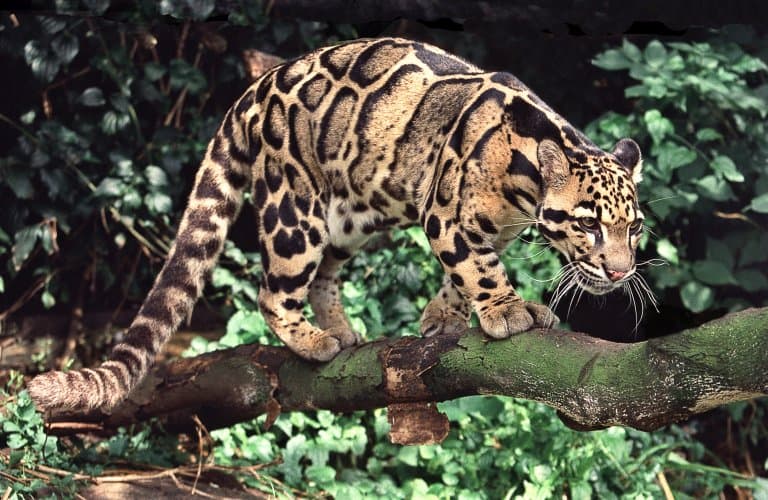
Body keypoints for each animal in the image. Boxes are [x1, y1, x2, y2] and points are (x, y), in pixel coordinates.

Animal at [28, 37, 645, 413]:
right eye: (589, 224)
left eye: (634, 228)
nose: (620, 272)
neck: (524, 184)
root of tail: (256, 89)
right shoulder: (446, 216)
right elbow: (478, 267)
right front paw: (508, 309)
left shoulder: (488, 228)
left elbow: (459, 274)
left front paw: (442, 316)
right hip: (294, 211)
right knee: (271, 291)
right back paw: (312, 340)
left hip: (347, 219)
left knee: (324, 274)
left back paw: (341, 329)